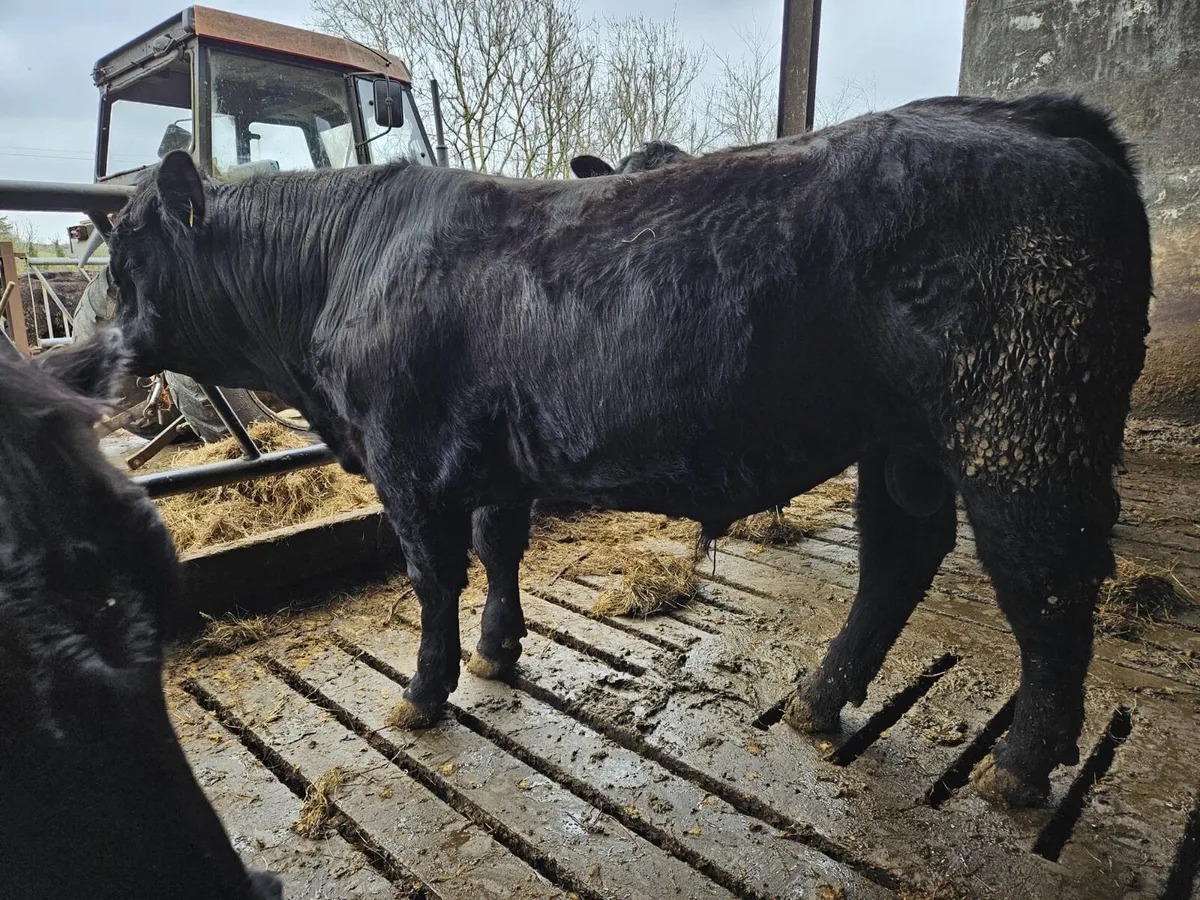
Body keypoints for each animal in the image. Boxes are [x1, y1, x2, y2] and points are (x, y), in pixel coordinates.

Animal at [96, 92, 1150, 808]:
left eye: (127, 260)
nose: (100, 351)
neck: (346, 264)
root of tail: (1037, 119)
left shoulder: (408, 460)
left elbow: (433, 580)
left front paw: (426, 692)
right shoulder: (491, 458)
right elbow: (499, 551)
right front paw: (498, 654)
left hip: (1022, 433)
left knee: (1049, 586)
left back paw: (1018, 768)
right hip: (906, 442)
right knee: (899, 559)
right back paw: (819, 699)